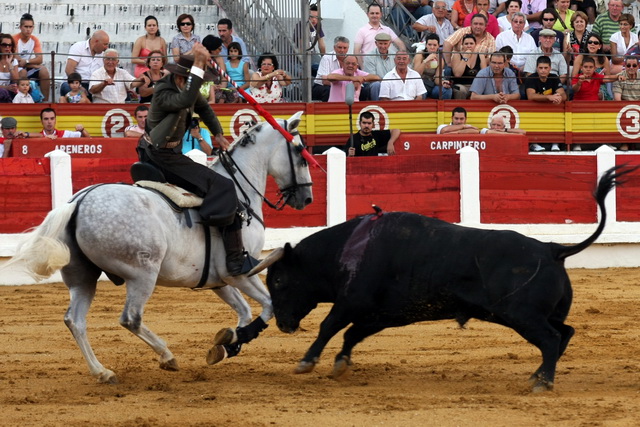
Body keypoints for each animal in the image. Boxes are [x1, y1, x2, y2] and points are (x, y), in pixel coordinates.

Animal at [7, 111, 312, 384]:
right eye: (300, 153)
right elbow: (268, 305)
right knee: (130, 318)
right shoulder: (240, 273)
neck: (241, 193)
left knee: (75, 321)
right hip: (142, 274)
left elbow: (245, 311)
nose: (307, 198)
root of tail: (79, 201)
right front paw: (234, 342)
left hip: (83, 276)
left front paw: (228, 344)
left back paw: (103, 372)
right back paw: (166, 356)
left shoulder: (218, 281)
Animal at [252, 166, 636, 392]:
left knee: (552, 338)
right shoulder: (384, 314)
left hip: (522, 316)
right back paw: (537, 375)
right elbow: (352, 334)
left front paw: (307, 361)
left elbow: (329, 326)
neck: (347, 249)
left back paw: (543, 382)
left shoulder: (351, 302)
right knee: (564, 333)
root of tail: (552, 248)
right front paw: (341, 364)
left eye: (279, 281)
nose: (282, 324)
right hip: (541, 314)